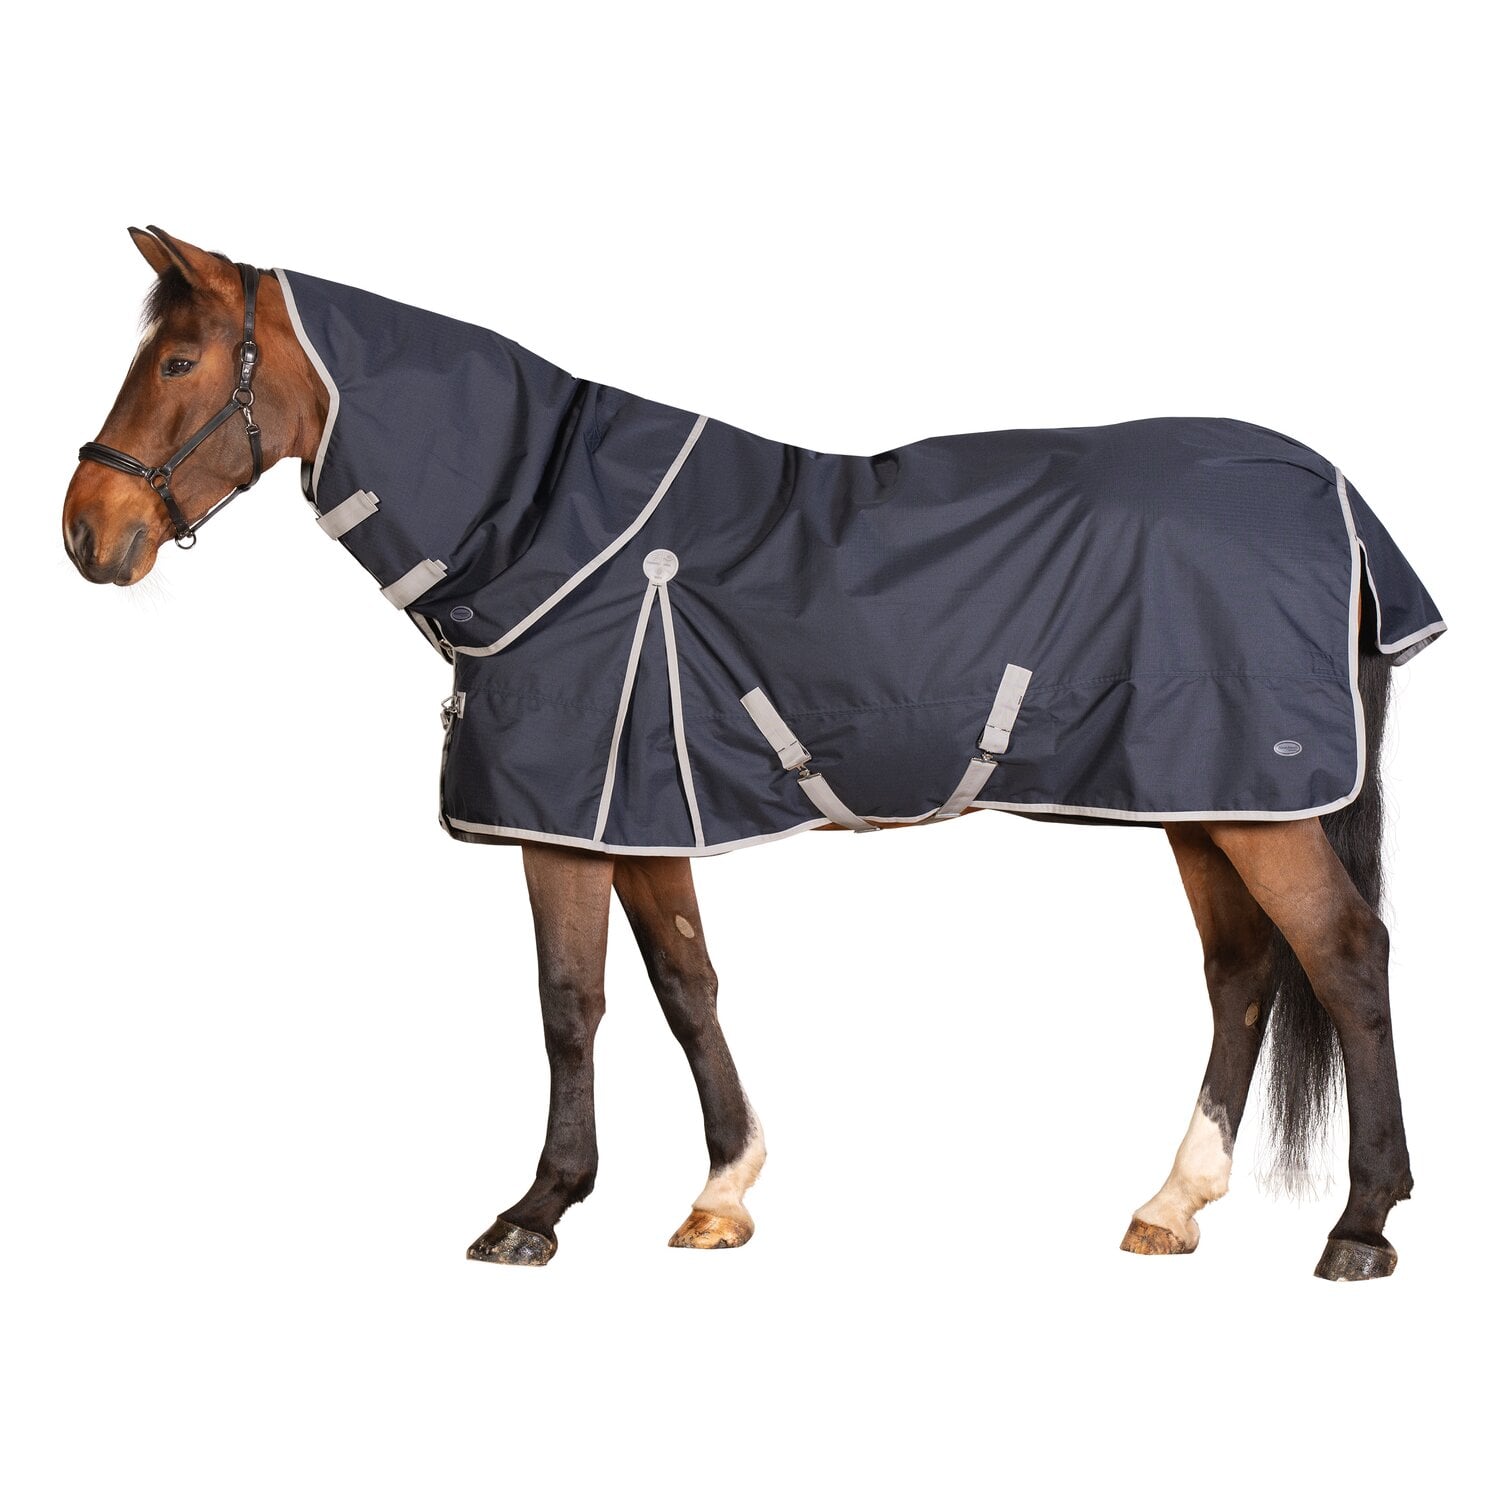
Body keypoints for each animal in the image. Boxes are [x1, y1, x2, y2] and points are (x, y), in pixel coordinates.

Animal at [62, 225, 1444, 1280]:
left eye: (178, 359)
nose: (86, 529)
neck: (549, 528)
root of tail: (1334, 493)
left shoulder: (568, 818)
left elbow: (570, 1005)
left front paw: (536, 1211)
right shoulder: (634, 813)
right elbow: (686, 986)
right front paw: (723, 1193)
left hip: (1261, 803)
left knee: (1345, 957)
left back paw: (1363, 1225)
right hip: (1205, 797)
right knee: (1243, 973)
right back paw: (1172, 1204)